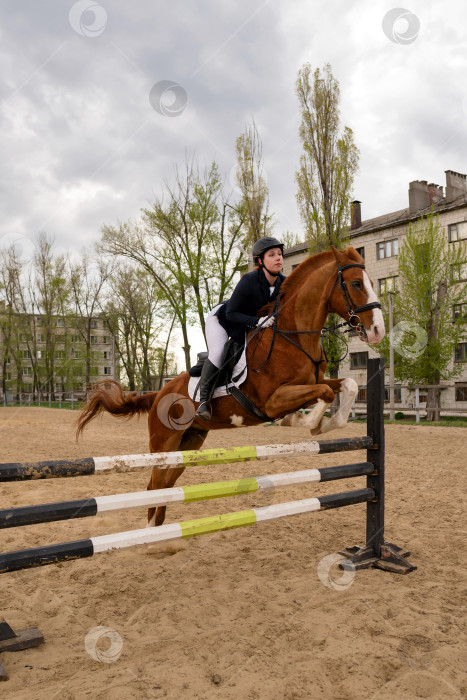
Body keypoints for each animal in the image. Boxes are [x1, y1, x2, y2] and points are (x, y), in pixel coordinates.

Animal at [76, 246, 384, 524]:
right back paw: (152, 538)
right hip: (164, 443)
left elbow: (346, 386)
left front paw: (326, 424)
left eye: (370, 281)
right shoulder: (272, 401)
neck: (293, 337)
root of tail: (159, 393)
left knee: (164, 486)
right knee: (154, 486)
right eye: (356, 283)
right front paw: (301, 422)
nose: (377, 330)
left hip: (189, 443)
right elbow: (323, 394)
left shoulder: (312, 384)